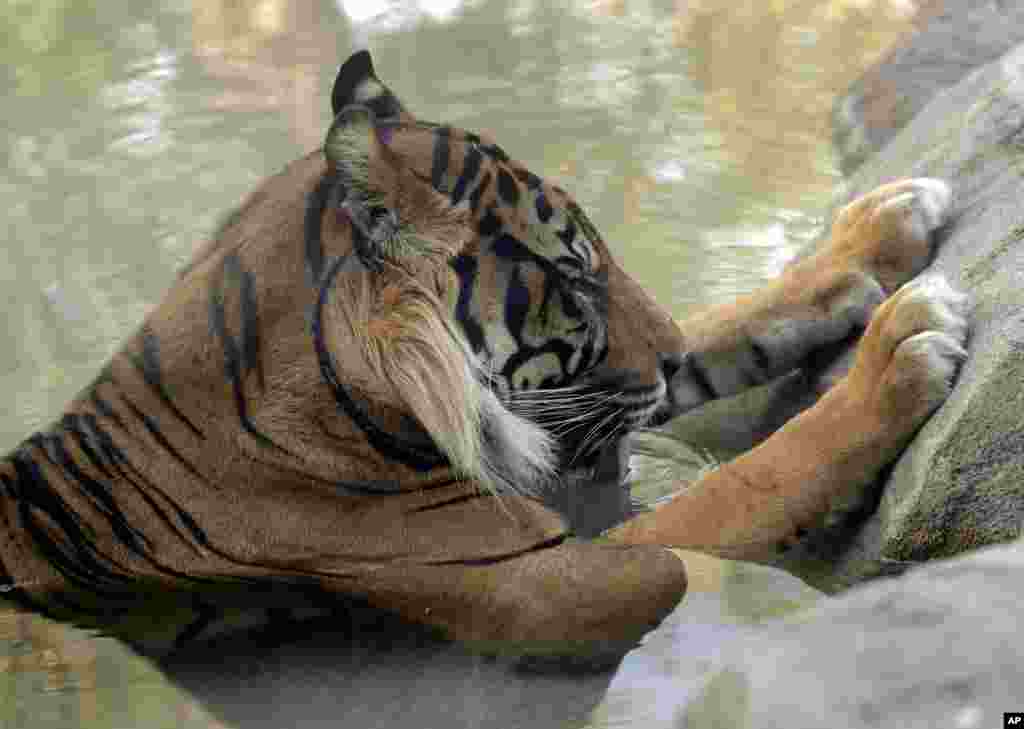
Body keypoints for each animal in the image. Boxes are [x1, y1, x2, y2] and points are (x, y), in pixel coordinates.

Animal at [0, 49, 966, 655]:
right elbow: (751, 479)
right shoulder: (561, 579)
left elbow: (720, 324)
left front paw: (878, 232)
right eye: (574, 280)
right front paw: (899, 349)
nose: (658, 359)